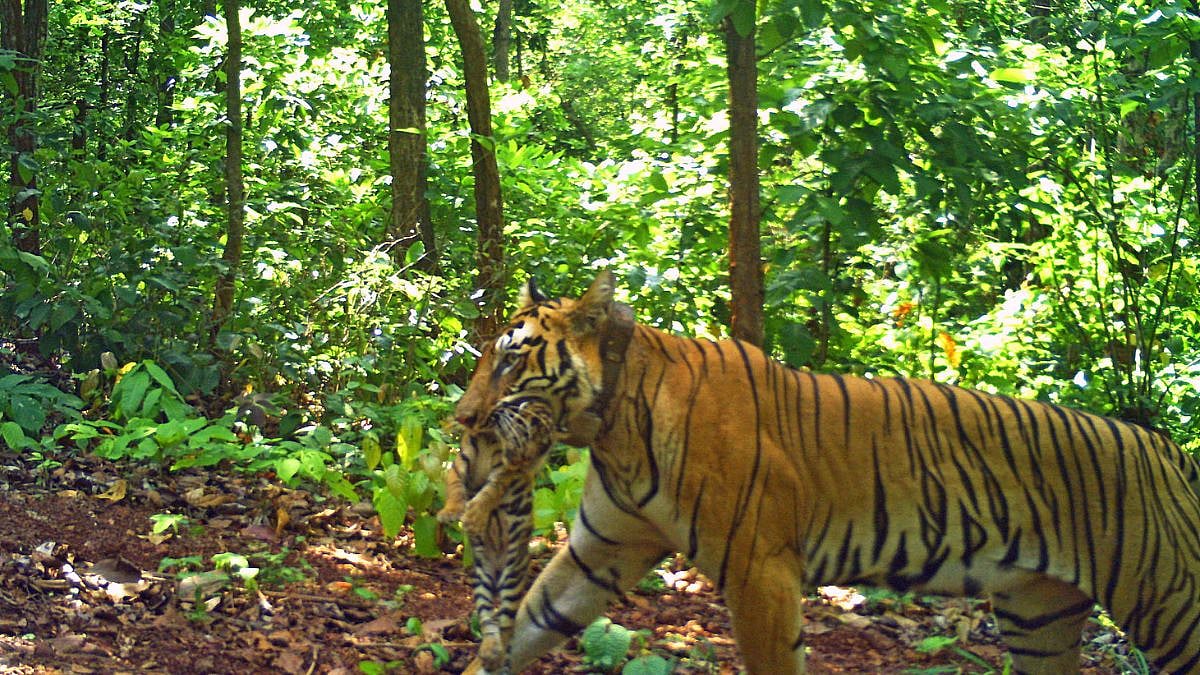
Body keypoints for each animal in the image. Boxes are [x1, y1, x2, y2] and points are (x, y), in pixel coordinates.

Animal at [438, 396, 557, 673]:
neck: (486, 438)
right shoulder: (459, 465)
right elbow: (455, 488)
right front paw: (450, 512)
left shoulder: (502, 470)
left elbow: (488, 493)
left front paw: (473, 518)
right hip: (481, 576)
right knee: (487, 617)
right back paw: (489, 651)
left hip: (513, 573)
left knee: (506, 621)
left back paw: (497, 654)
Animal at [452, 270, 1200, 674]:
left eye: (512, 360)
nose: (461, 419)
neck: (613, 426)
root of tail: (1172, 453)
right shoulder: (601, 549)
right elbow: (529, 620)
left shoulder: (760, 568)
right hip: (1039, 617)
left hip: (1170, 602)